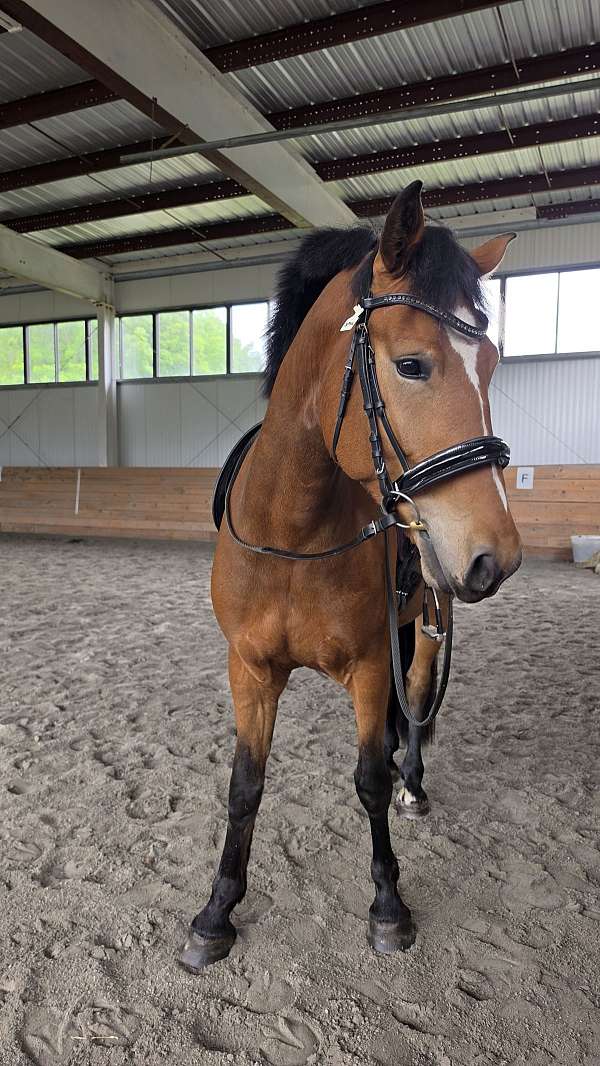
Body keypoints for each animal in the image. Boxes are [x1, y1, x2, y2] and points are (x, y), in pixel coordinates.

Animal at [180, 181, 522, 971]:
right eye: (412, 364)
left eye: (491, 363)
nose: (495, 554)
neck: (294, 534)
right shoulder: (250, 669)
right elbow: (245, 786)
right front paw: (217, 912)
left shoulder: (370, 665)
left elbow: (369, 777)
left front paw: (389, 905)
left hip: (429, 618)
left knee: (418, 697)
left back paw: (414, 786)